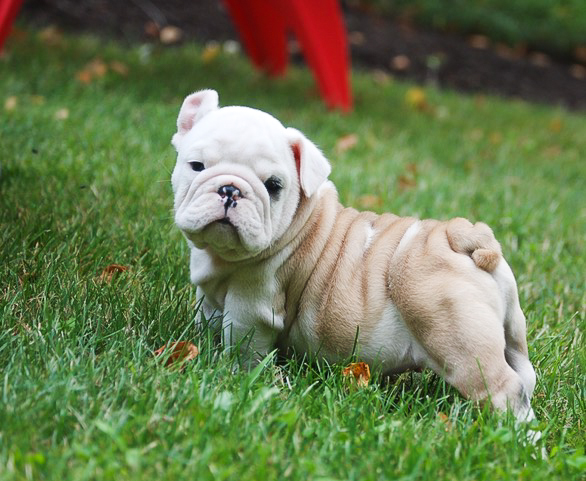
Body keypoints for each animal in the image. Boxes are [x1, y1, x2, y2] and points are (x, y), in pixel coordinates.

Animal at [169, 90, 532, 424]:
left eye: (273, 185)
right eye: (196, 166)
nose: (230, 190)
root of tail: (460, 237)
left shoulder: (251, 305)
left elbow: (243, 347)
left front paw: (236, 375)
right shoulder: (209, 297)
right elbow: (206, 318)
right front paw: (200, 345)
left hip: (460, 343)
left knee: (503, 388)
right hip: (511, 329)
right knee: (524, 373)